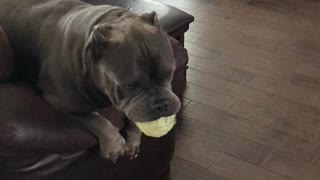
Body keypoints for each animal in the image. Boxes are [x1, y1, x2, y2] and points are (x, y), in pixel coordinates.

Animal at [0, 0, 180, 162]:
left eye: (169, 72)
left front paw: (133, 140)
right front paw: (114, 146)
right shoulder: (64, 103)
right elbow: (95, 119)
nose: (162, 105)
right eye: (131, 85)